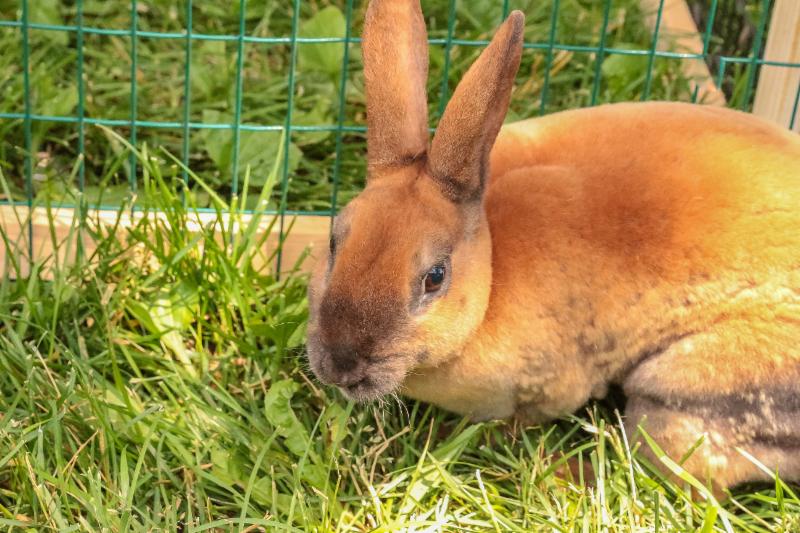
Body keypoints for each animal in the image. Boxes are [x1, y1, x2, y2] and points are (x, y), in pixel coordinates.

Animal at [306, 0, 800, 492]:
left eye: (434, 277)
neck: (491, 271)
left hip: (677, 396)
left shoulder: (553, 386)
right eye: (333, 242)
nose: (340, 365)